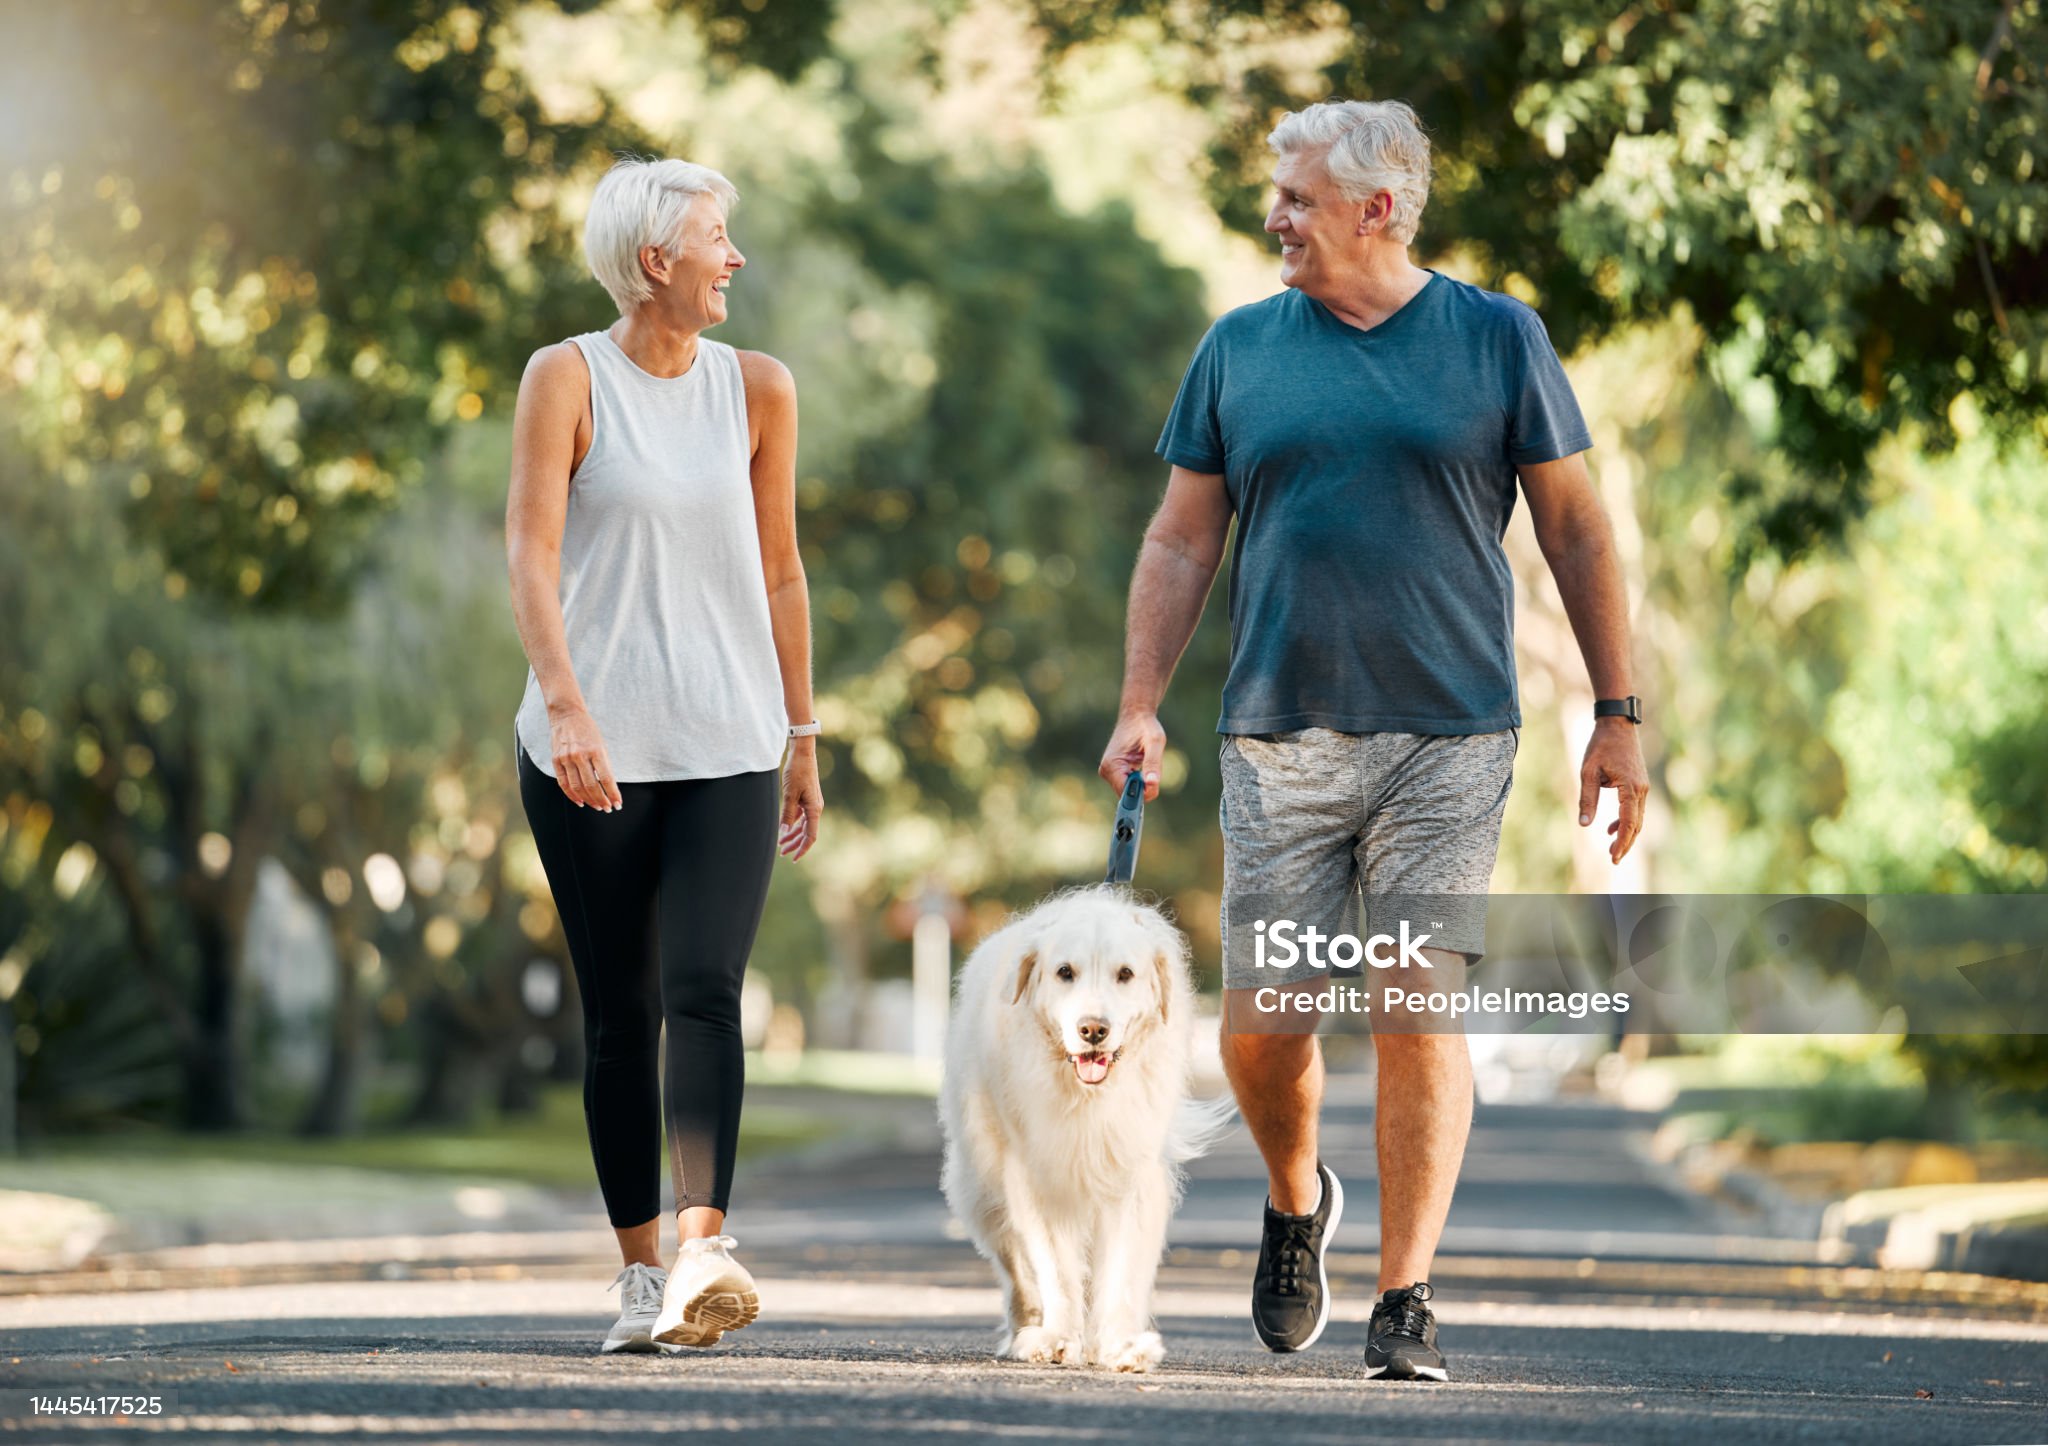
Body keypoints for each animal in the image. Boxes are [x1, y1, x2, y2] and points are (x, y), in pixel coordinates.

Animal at [937, 884, 1212, 1368]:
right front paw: (1058, 1339)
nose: (1093, 1030)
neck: (1086, 1097)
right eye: (1065, 972)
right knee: (1016, 1266)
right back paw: (1026, 1328)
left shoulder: (1131, 1178)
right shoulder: (1037, 1178)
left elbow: (1121, 1272)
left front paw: (1122, 1344)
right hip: (982, 1186)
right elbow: (1055, 1270)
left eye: (1125, 974)